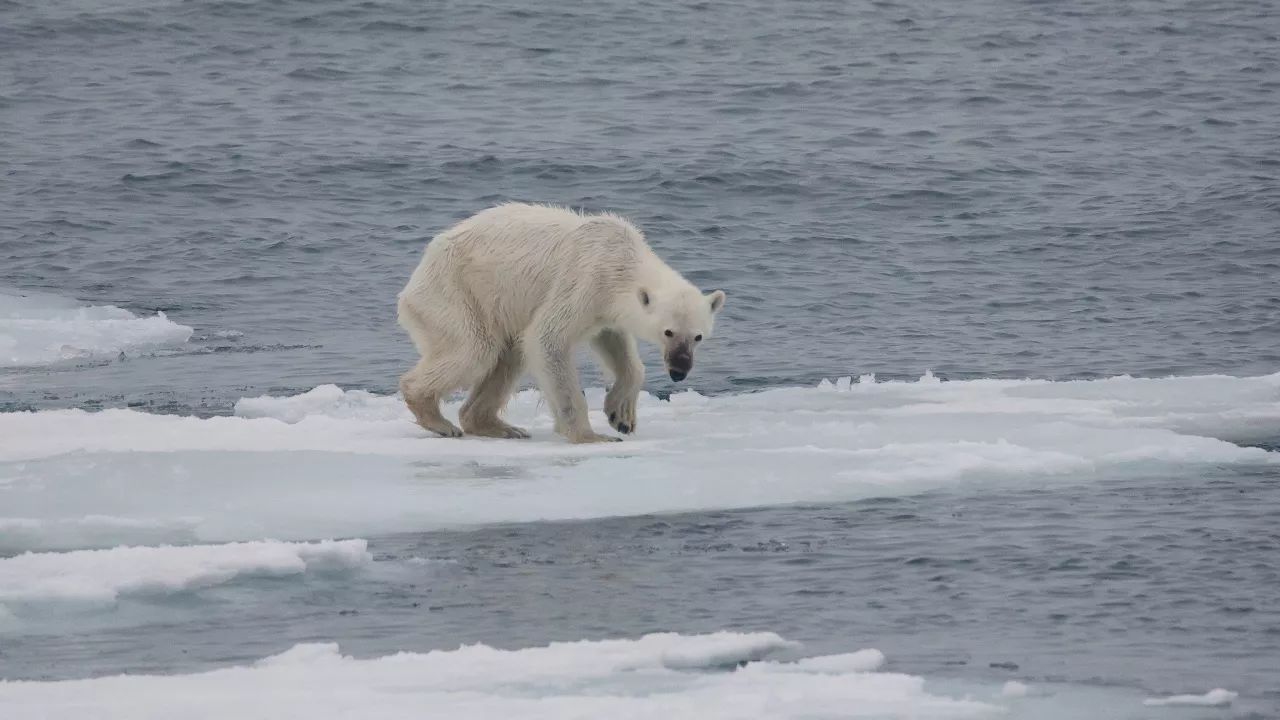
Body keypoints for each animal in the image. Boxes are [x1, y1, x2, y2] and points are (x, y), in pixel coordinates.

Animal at [394, 198, 727, 440]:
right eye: (668, 332)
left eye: (698, 336)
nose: (679, 370)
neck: (620, 259)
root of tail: (414, 280)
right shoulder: (584, 279)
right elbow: (547, 339)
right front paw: (591, 436)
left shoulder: (604, 307)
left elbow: (615, 343)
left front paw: (621, 416)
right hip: (455, 292)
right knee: (475, 349)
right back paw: (437, 418)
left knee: (509, 355)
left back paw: (499, 426)